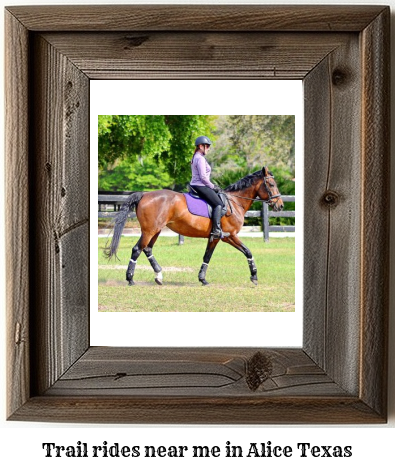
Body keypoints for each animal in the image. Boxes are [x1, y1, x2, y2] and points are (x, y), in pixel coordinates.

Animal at [105, 167, 284, 288]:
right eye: (271, 184)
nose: (280, 205)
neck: (235, 202)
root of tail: (144, 194)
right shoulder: (229, 236)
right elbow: (248, 252)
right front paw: (254, 276)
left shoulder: (216, 238)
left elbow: (207, 257)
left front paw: (202, 279)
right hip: (149, 231)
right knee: (137, 249)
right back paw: (130, 278)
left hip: (156, 230)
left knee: (147, 249)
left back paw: (159, 276)